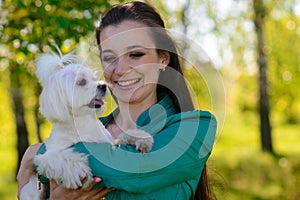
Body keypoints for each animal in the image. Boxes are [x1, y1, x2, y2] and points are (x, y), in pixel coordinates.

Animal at [19, 47, 154, 199]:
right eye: (81, 82)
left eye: (94, 79)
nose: (103, 85)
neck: (82, 122)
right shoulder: (46, 156)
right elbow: (63, 157)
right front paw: (78, 170)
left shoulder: (108, 143)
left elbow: (120, 139)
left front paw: (140, 139)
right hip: (32, 189)